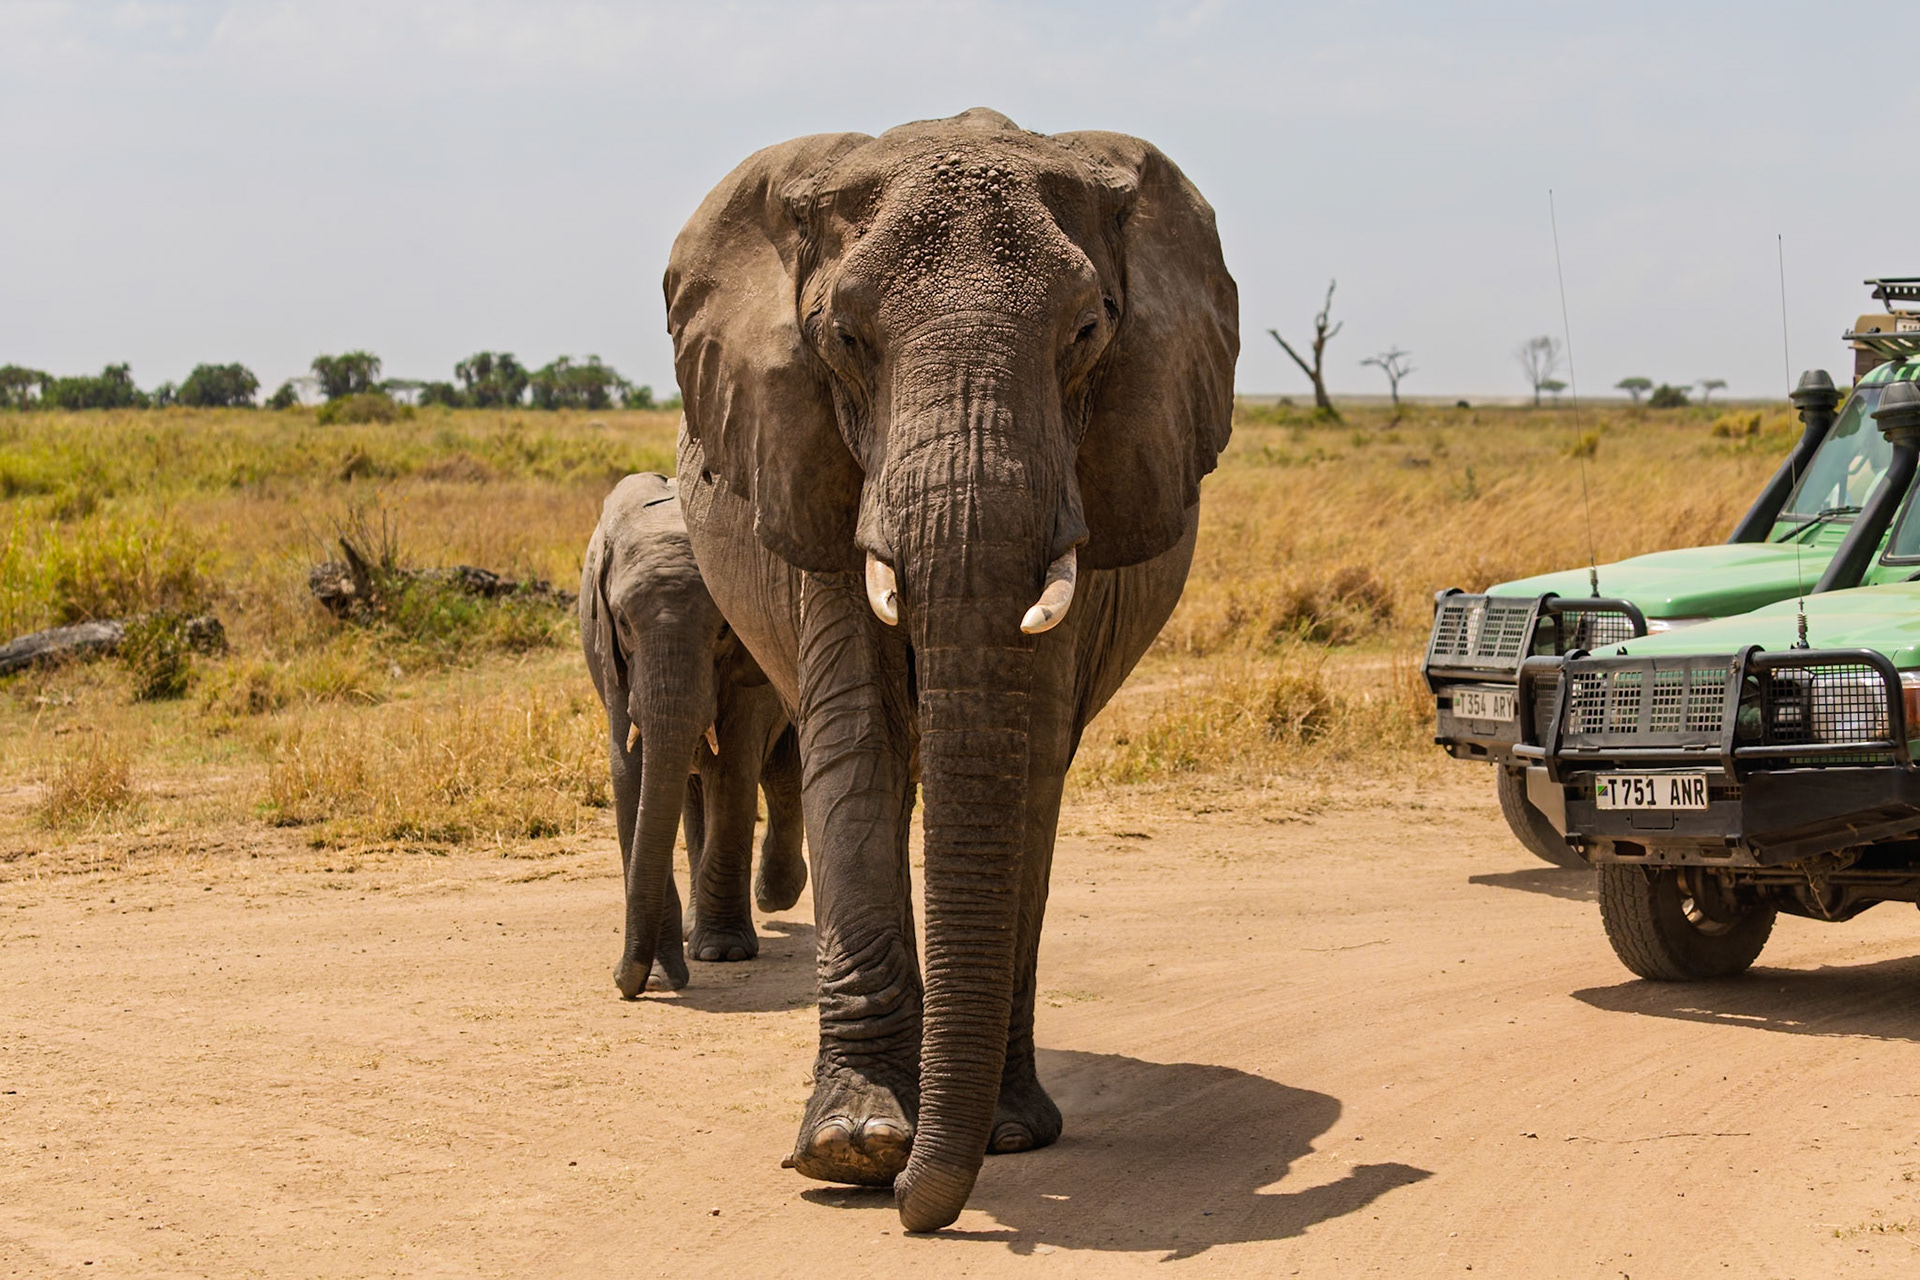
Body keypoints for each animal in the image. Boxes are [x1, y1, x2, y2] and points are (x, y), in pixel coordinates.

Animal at [579, 472, 806, 997]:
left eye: (723, 629)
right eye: (623, 622)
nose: (628, 981)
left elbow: (734, 767)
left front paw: (723, 954)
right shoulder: (610, 656)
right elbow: (630, 773)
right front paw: (667, 967)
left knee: (783, 774)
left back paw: (773, 899)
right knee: (693, 792)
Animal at [663, 108, 1237, 1230]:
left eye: (1089, 333)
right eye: (844, 339)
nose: (917, 1212)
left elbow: (1026, 757)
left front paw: (980, 1142)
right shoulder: (815, 469)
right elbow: (859, 743)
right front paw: (852, 1148)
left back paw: (989, 1122)